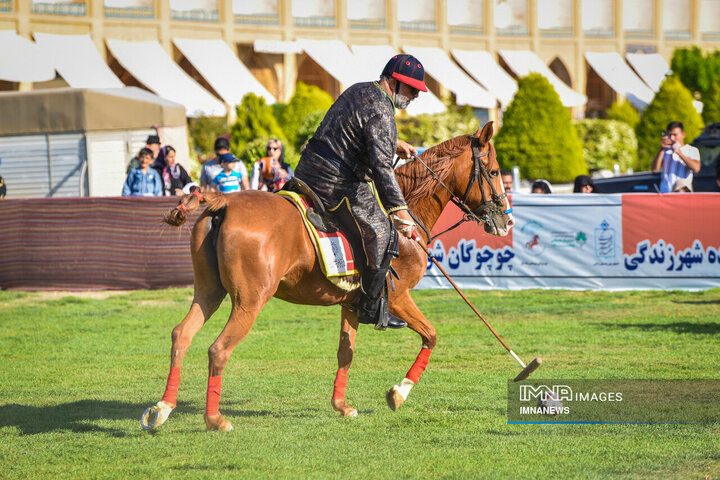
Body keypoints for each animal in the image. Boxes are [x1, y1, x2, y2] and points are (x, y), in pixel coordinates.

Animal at [141, 121, 512, 432]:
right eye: (494, 171)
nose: (506, 221)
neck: (407, 218)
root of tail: (224, 203)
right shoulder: (398, 297)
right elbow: (431, 335)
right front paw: (399, 392)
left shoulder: (352, 303)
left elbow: (345, 352)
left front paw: (341, 405)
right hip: (249, 302)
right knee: (218, 350)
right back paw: (215, 419)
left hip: (208, 292)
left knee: (181, 335)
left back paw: (163, 408)